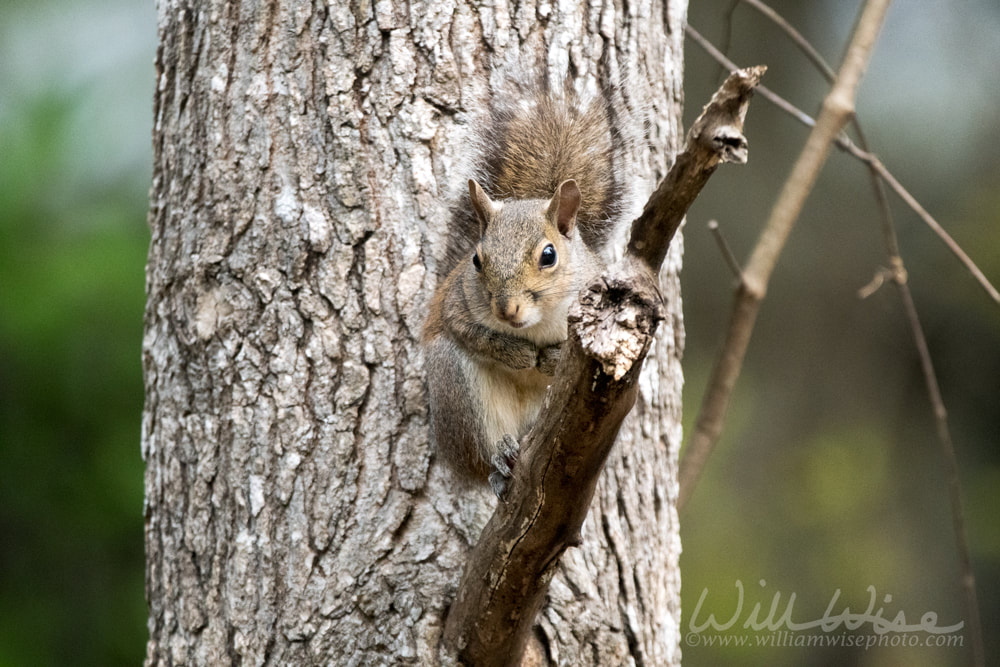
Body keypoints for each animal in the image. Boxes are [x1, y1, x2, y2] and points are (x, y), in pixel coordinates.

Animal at [422, 68, 632, 496]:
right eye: (476, 260)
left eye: (549, 256)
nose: (507, 309)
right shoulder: (457, 304)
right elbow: (472, 333)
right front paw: (519, 355)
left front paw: (548, 359)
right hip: (457, 390)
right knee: (483, 456)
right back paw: (501, 461)